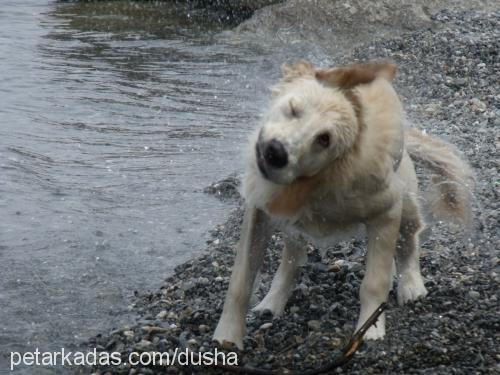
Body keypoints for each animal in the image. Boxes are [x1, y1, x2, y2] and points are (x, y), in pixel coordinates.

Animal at [211, 60, 472, 352]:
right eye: (293, 108)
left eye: (324, 139)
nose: (275, 153)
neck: (314, 182)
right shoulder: (260, 208)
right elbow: (240, 280)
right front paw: (227, 336)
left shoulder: (386, 210)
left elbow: (375, 282)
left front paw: (370, 332)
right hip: (293, 226)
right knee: (293, 258)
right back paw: (272, 302)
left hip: (405, 198)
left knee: (409, 240)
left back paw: (411, 285)